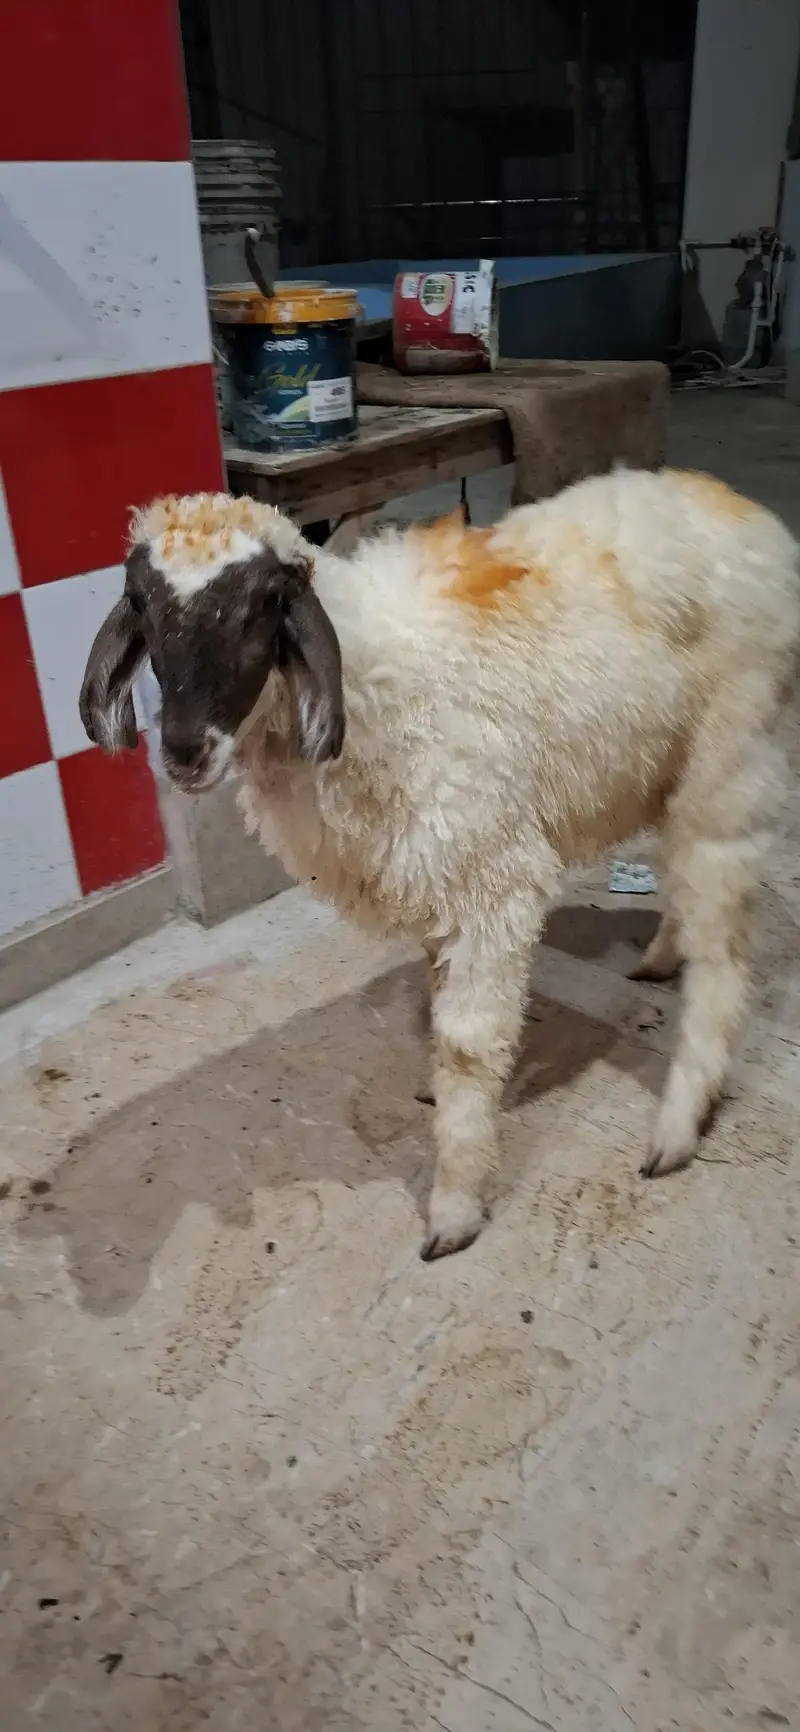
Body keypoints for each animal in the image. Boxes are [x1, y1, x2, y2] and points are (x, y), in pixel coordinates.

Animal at [80, 470, 800, 1259]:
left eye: (264, 603)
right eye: (141, 602)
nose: (182, 751)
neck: (377, 683)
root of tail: (744, 510)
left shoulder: (492, 881)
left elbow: (466, 1045)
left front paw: (454, 1207)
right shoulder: (435, 879)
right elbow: (437, 995)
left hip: (731, 764)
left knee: (723, 957)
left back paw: (676, 1129)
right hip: (670, 769)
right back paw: (661, 957)